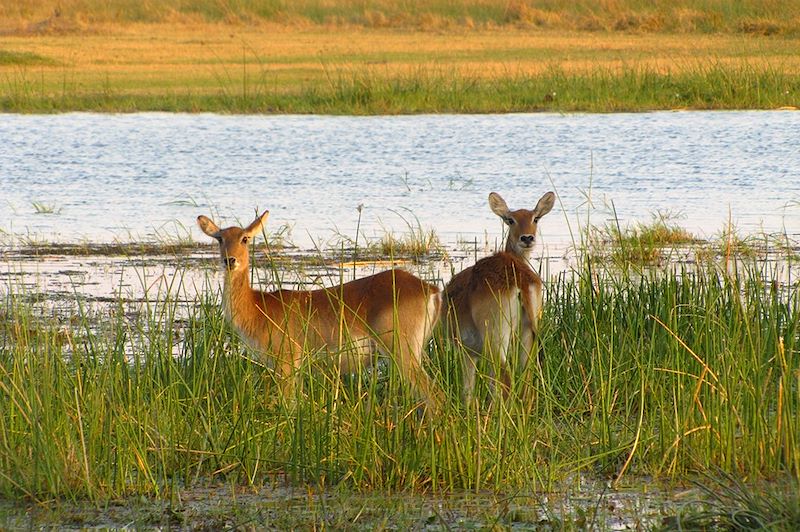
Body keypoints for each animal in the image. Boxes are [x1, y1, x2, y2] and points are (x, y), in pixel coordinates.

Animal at [195, 210, 444, 410]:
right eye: (219, 238)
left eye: (245, 238)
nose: (230, 260)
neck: (258, 307)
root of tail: (431, 289)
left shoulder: (287, 363)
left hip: (402, 351)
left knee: (436, 397)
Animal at [444, 191, 556, 404]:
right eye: (510, 219)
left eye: (535, 218)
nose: (527, 238)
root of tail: (519, 279)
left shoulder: (467, 351)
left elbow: (468, 391)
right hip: (527, 333)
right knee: (526, 378)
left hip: (496, 339)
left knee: (505, 380)